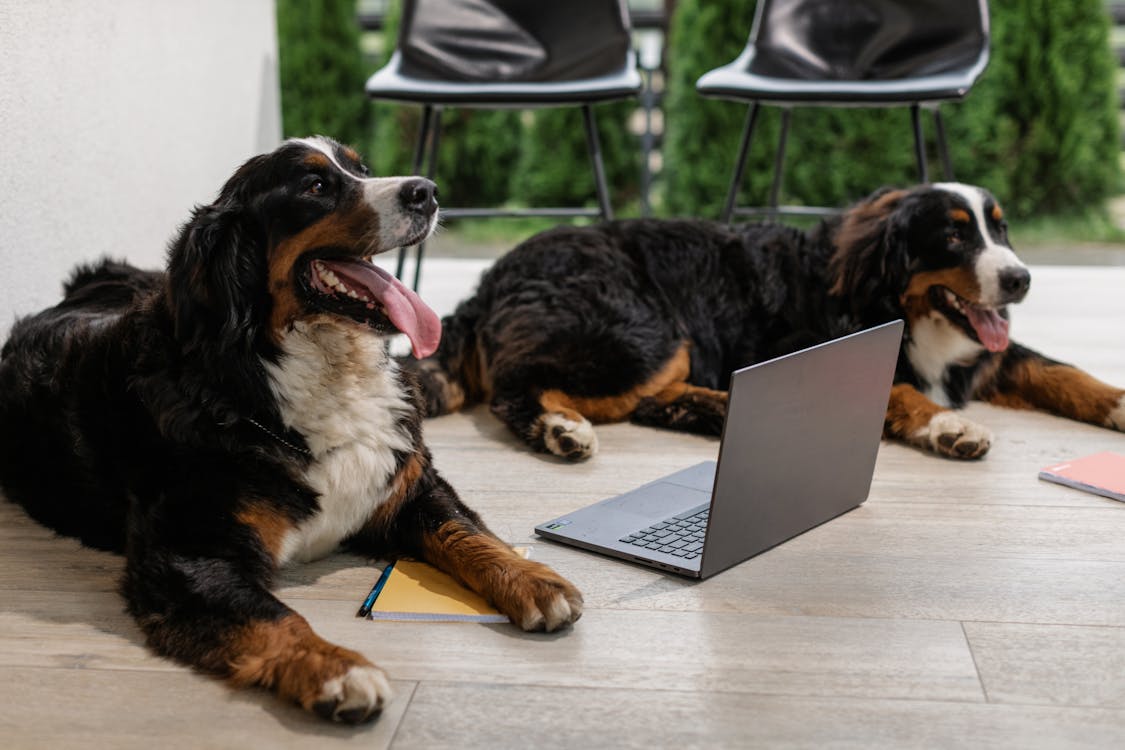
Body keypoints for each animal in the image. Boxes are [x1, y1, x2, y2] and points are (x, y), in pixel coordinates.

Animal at [0, 137, 580, 724]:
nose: (427, 191)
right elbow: (274, 615)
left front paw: (532, 578)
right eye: (316, 186)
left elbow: (464, 531)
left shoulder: (408, 482)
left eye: (362, 169)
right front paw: (337, 669)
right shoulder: (191, 555)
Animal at [416, 184, 1125, 461]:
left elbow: (1064, 372)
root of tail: (491, 281)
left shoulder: (991, 353)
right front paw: (949, 425)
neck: (893, 301)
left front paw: (1118, 402)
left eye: (999, 229)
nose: (1020, 279)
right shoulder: (826, 346)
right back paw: (561, 429)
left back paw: (724, 409)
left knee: (650, 402)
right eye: (953, 237)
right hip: (643, 331)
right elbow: (899, 389)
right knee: (523, 387)